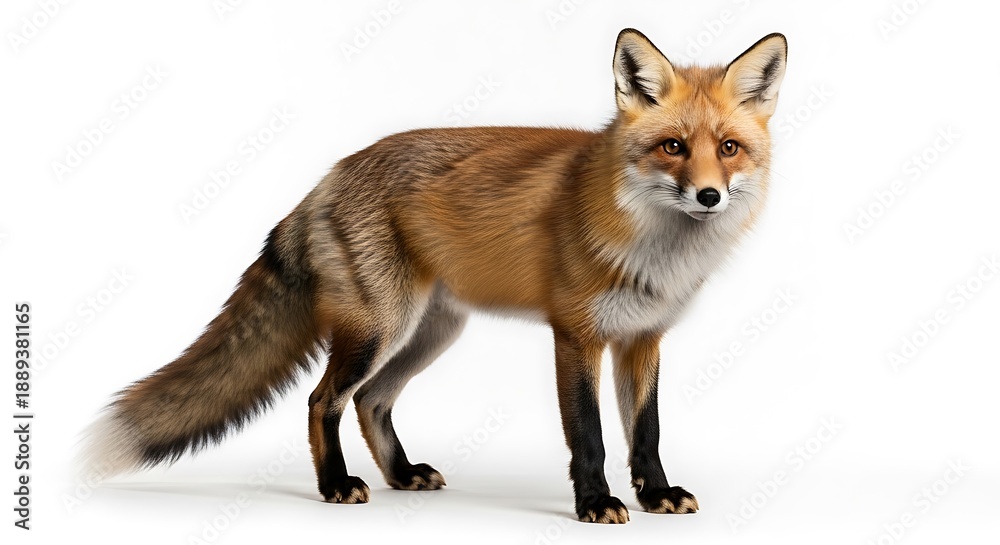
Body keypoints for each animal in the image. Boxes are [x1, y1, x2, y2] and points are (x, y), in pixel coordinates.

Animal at [82, 29, 787, 524]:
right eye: (673, 147)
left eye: (728, 148)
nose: (708, 197)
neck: (653, 252)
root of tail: (330, 174)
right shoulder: (576, 336)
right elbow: (588, 433)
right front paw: (595, 504)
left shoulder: (643, 339)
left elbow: (647, 431)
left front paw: (657, 495)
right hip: (380, 327)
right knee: (322, 400)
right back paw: (335, 485)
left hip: (430, 333)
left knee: (370, 400)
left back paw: (401, 476)